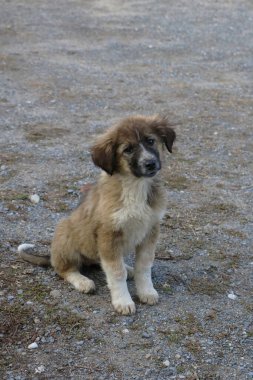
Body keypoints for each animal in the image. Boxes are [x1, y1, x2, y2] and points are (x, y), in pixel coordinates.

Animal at [19, 115, 175, 314]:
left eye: (150, 141)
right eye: (128, 149)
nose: (150, 164)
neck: (135, 186)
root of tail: (51, 255)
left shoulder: (151, 230)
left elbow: (144, 265)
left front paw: (146, 291)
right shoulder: (108, 234)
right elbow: (116, 272)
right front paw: (123, 301)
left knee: (100, 262)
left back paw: (128, 268)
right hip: (65, 235)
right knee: (64, 269)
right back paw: (83, 281)